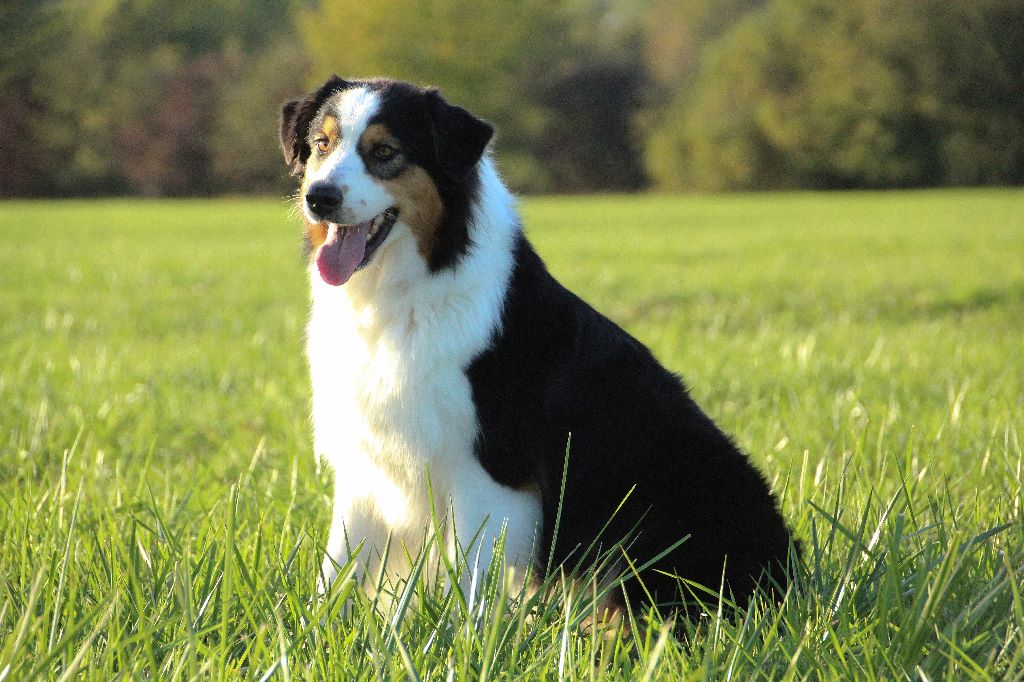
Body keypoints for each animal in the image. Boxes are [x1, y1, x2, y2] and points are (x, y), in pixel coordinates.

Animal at [280, 76, 795, 615]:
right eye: (322, 144)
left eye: (385, 152)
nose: (319, 197)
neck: (403, 291)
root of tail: (790, 569)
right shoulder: (366, 463)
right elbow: (337, 574)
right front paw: (312, 631)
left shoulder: (489, 471)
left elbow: (472, 583)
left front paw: (463, 636)